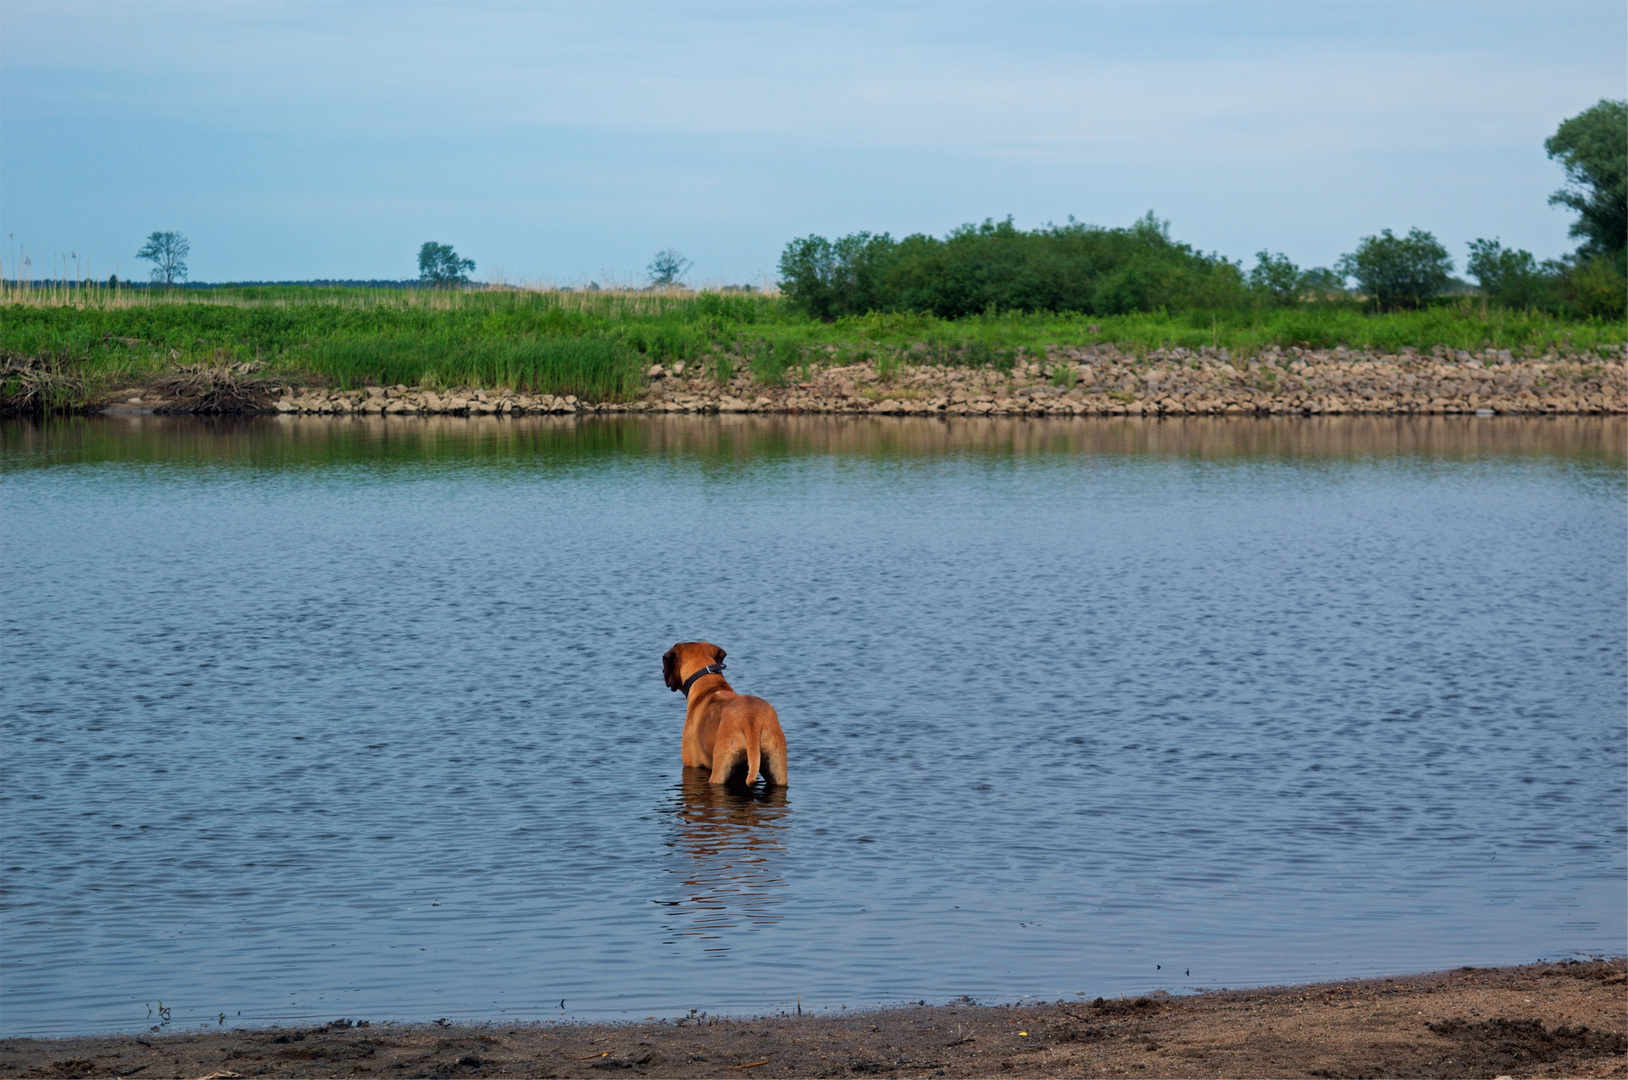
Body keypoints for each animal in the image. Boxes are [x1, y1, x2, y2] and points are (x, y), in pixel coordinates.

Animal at [660, 641, 787, 785]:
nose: (663, 671)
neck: (709, 682)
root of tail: (751, 720)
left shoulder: (691, 763)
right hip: (777, 770)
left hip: (720, 771)